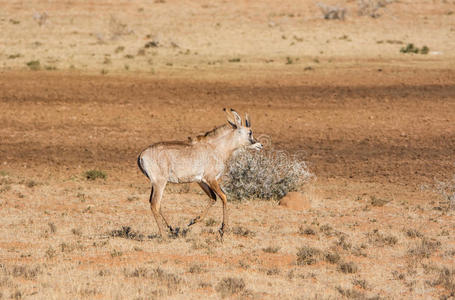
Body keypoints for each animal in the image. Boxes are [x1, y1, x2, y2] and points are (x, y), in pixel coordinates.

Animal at [137, 108, 262, 239]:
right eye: (250, 132)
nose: (259, 145)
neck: (216, 147)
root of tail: (141, 155)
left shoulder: (201, 181)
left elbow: (213, 198)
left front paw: (193, 221)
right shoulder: (211, 179)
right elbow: (223, 197)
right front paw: (222, 230)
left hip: (156, 184)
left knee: (155, 203)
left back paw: (172, 229)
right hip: (160, 183)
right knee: (155, 205)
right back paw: (164, 236)